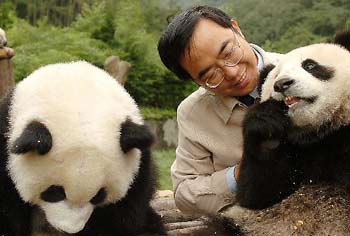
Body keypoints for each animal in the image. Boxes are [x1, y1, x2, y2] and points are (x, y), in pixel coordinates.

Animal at [0, 61, 166, 236]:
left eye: (99, 195)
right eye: (54, 191)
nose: (68, 230)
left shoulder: (140, 162)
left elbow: (129, 213)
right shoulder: (5, 138)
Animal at [235, 30, 350, 210]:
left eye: (310, 65)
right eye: (276, 75)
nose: (282, 84)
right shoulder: (296, 150)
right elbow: (258, 192)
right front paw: (267, 128)